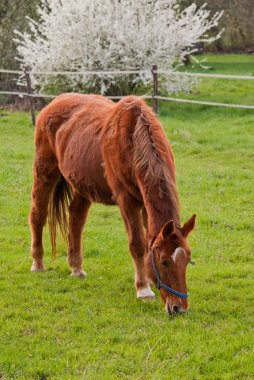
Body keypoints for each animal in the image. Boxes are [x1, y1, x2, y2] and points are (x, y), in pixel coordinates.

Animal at [30, 94, 196, 314]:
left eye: (187, 259)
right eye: (164, 262)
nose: (179, 308)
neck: (134, 139)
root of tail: (53, 103)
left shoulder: (145, 204)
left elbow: (148, 241)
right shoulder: (127, 201)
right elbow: (138, 244)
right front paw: (143, 289)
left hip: (82, 184)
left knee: (75, 219)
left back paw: (76, 268)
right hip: (45, 172)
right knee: (37, 216)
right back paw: (38, 263)